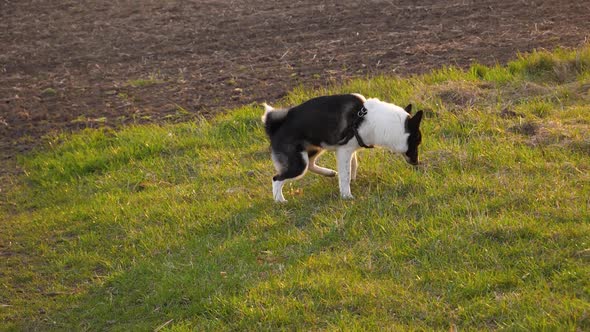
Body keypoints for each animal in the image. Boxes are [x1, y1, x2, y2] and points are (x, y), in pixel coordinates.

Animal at [262, 93, 424, 202]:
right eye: (417, 140)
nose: (417, 162)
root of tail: (274, 128)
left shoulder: (349, 150)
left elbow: (353, 166)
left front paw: (351, 181)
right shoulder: (344, 151)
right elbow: (345, 174)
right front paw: (347, 195)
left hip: (315, 149)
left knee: (311, 165)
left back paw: (328, 173)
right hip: (298, 163)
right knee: (277, 178)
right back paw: (280, 200)